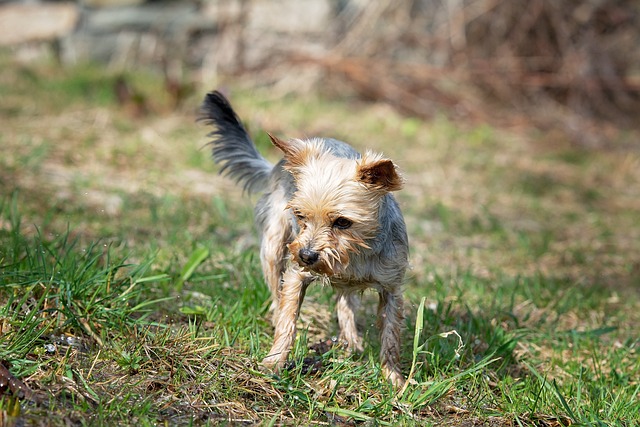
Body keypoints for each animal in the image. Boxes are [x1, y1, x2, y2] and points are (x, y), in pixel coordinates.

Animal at [200, 91, 410, 388]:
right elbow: (288, 319)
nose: (307, 255)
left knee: (346, 304)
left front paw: (394, 380)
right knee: (277, 292)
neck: (354, 254)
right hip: (274, 247)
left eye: (343, 222)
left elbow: (391, 336)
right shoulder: (296, 275)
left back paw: (350, 343)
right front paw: (273, 363)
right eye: (300, 216)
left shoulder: (392, 288)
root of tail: (277, 165)